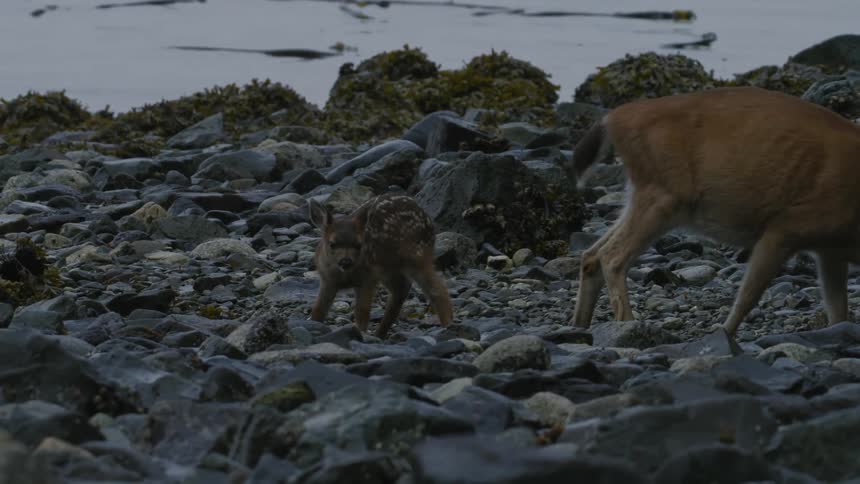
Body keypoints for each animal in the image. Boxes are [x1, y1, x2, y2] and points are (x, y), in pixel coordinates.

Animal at [307, 192, 454, 338]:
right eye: (332, 244)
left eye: (358, 245)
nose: (346, 261)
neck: (345, 276)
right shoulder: (327, 279)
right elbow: (319, 308)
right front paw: (314, 324)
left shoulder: (368, 277)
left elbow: (362, 311)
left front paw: (360, 332)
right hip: (389, 269)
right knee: (401, 289)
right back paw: (380, 333)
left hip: (417, 255)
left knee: (437, 288)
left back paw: (448, 325)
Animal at [567, 86, 860, 337]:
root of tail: (612, 118)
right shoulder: (786, 227)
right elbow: (748, 295)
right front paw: (724, 334)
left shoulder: (830, 252)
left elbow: (839, 311)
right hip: (664, 195)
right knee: (611, 256)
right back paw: (627, 325)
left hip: (646, 193)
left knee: (592, 254)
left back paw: (580, 326)